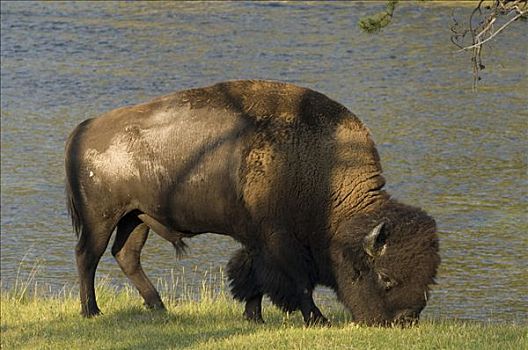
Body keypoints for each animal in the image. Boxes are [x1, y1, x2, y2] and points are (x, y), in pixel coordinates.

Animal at [66, 79, 440, 326]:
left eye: (428, 278)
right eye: (386, 278)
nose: (405, 320)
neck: (325, 170)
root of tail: (85, 127)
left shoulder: (257, 239)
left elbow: (253, 276)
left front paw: (254, 316)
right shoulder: (279, 239)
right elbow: (296, 280)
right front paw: (317, 319)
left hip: (136, 217)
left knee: (126, 255)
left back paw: (158, 307)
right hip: (101, 219)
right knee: (88, 257)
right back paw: (92, 311)